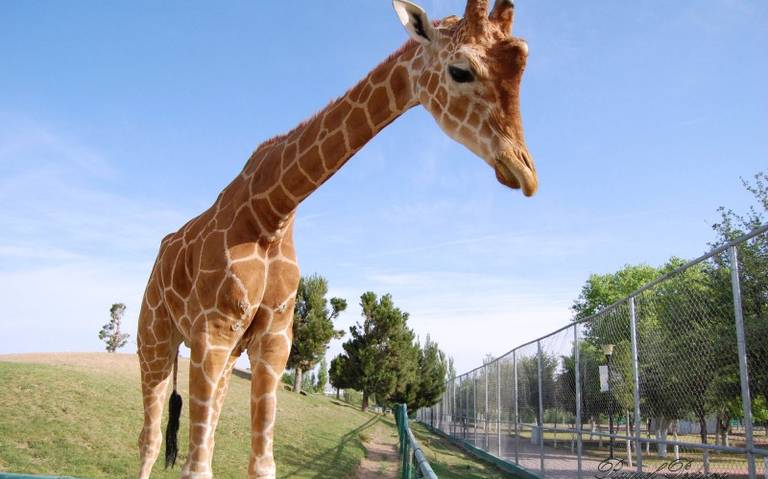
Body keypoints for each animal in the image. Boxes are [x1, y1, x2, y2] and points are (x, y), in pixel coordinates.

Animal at [136, 0, 536, 478]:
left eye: (522, 66)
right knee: (150, 437)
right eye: (461, 70)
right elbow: (197, 466)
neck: (271, 211)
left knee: (202, 430)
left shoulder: (273, 341)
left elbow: (260, 463)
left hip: (222, 353)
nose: (524, 170)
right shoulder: (212, 329)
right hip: (155, 337)